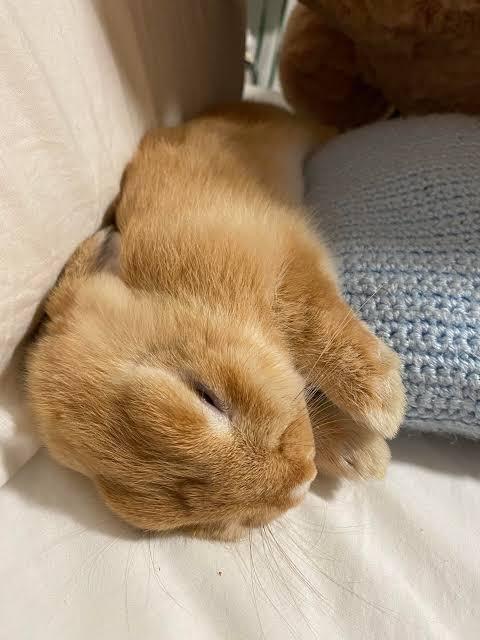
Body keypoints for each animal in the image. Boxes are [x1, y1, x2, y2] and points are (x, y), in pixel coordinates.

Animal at [25, 102, 405, 541]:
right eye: (186, 515)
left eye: (206, 395)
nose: (300, 482)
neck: (199, 297)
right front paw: (363, 454)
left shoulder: (282, 254)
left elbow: (309, 315)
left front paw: (383, 403)